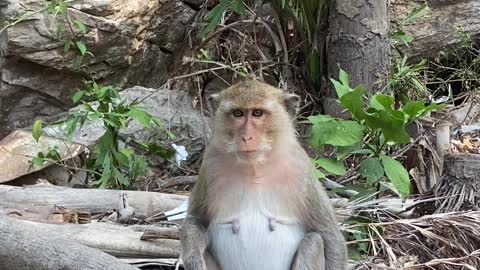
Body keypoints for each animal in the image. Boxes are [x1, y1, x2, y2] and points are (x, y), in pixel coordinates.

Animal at [182, 78, 346, 270]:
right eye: (238, 113)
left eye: (257, 113)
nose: (246, 137)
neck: (255, 168)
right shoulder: (210, 166)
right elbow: (196, 220)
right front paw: (193, 260)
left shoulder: (302, 169)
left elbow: (329, 235)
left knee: (313, 241)